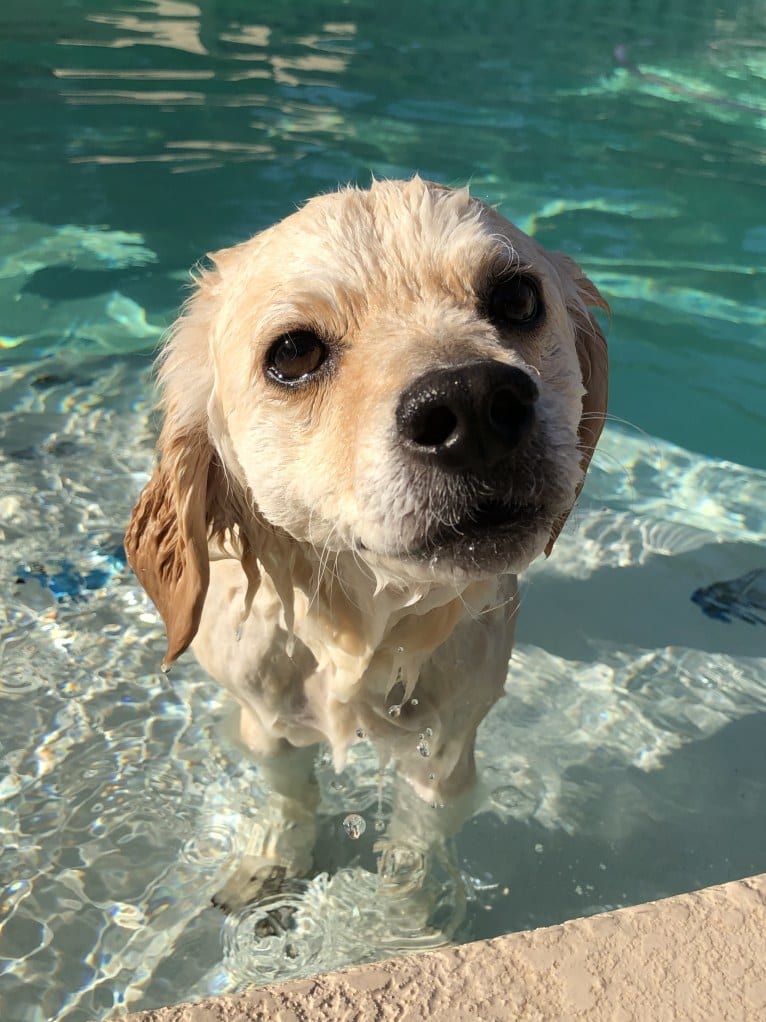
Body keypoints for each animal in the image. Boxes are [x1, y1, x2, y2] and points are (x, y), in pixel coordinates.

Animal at [126, 173, 608, 911]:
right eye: (293, 352)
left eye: (517, 299)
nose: (472, 404)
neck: (357, 623)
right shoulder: (263, 718)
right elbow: (289, 793)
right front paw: (273, 864)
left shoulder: (448, 741)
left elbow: (418, 840)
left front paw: (401, 915)